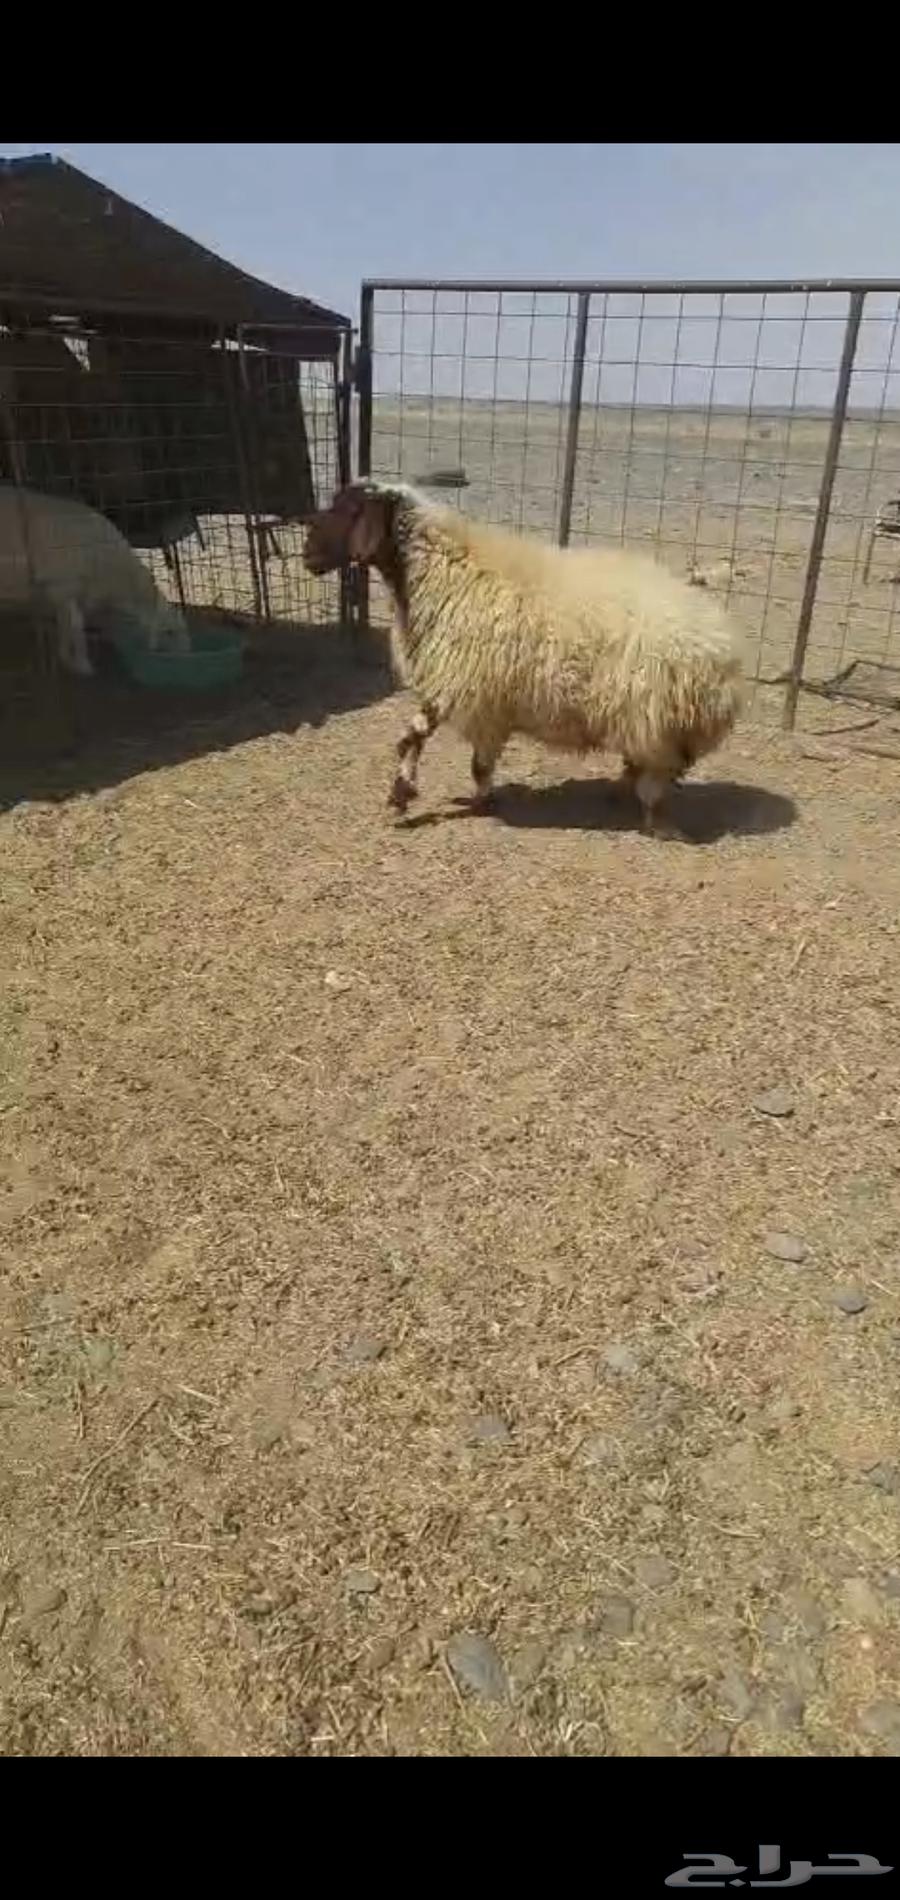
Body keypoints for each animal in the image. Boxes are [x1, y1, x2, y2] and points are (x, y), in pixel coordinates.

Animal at [0, 483, 191, 676]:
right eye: (169, 632)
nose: (186, 656)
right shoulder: (63, 586)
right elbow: (76, 627)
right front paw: (82, 664)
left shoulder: (69, 594)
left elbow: (65, 625)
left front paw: (66, 657)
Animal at [303, 480, 744, 837]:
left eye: (348, 508)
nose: (307, 555)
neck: (443, 572)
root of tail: (726, 653)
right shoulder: (468, 691)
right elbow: (436, 746)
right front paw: (433, 796)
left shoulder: (464, 685)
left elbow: (434, 746)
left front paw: (419, 796)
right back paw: (621, 794)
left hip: (658, 718)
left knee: (656, 779)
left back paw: (657, 823)